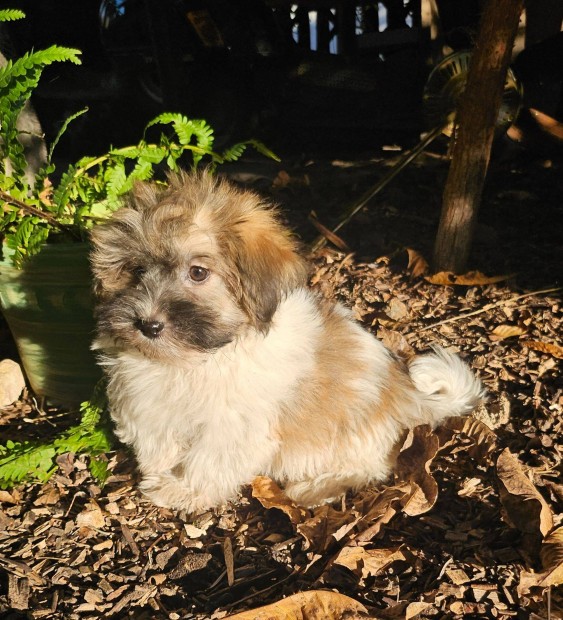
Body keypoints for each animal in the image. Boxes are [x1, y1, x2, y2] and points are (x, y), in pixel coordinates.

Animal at [90, 172, 486, 512]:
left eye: (198, 273)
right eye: (137, 271)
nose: (148, 324)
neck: (197, 359)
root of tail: (406, 393)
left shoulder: (231, 426)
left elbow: (208, 459)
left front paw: (183, 490)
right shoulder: (149, 404)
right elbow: (157, 440)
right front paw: (162, 475)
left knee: (370, 467)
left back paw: (316, 487)